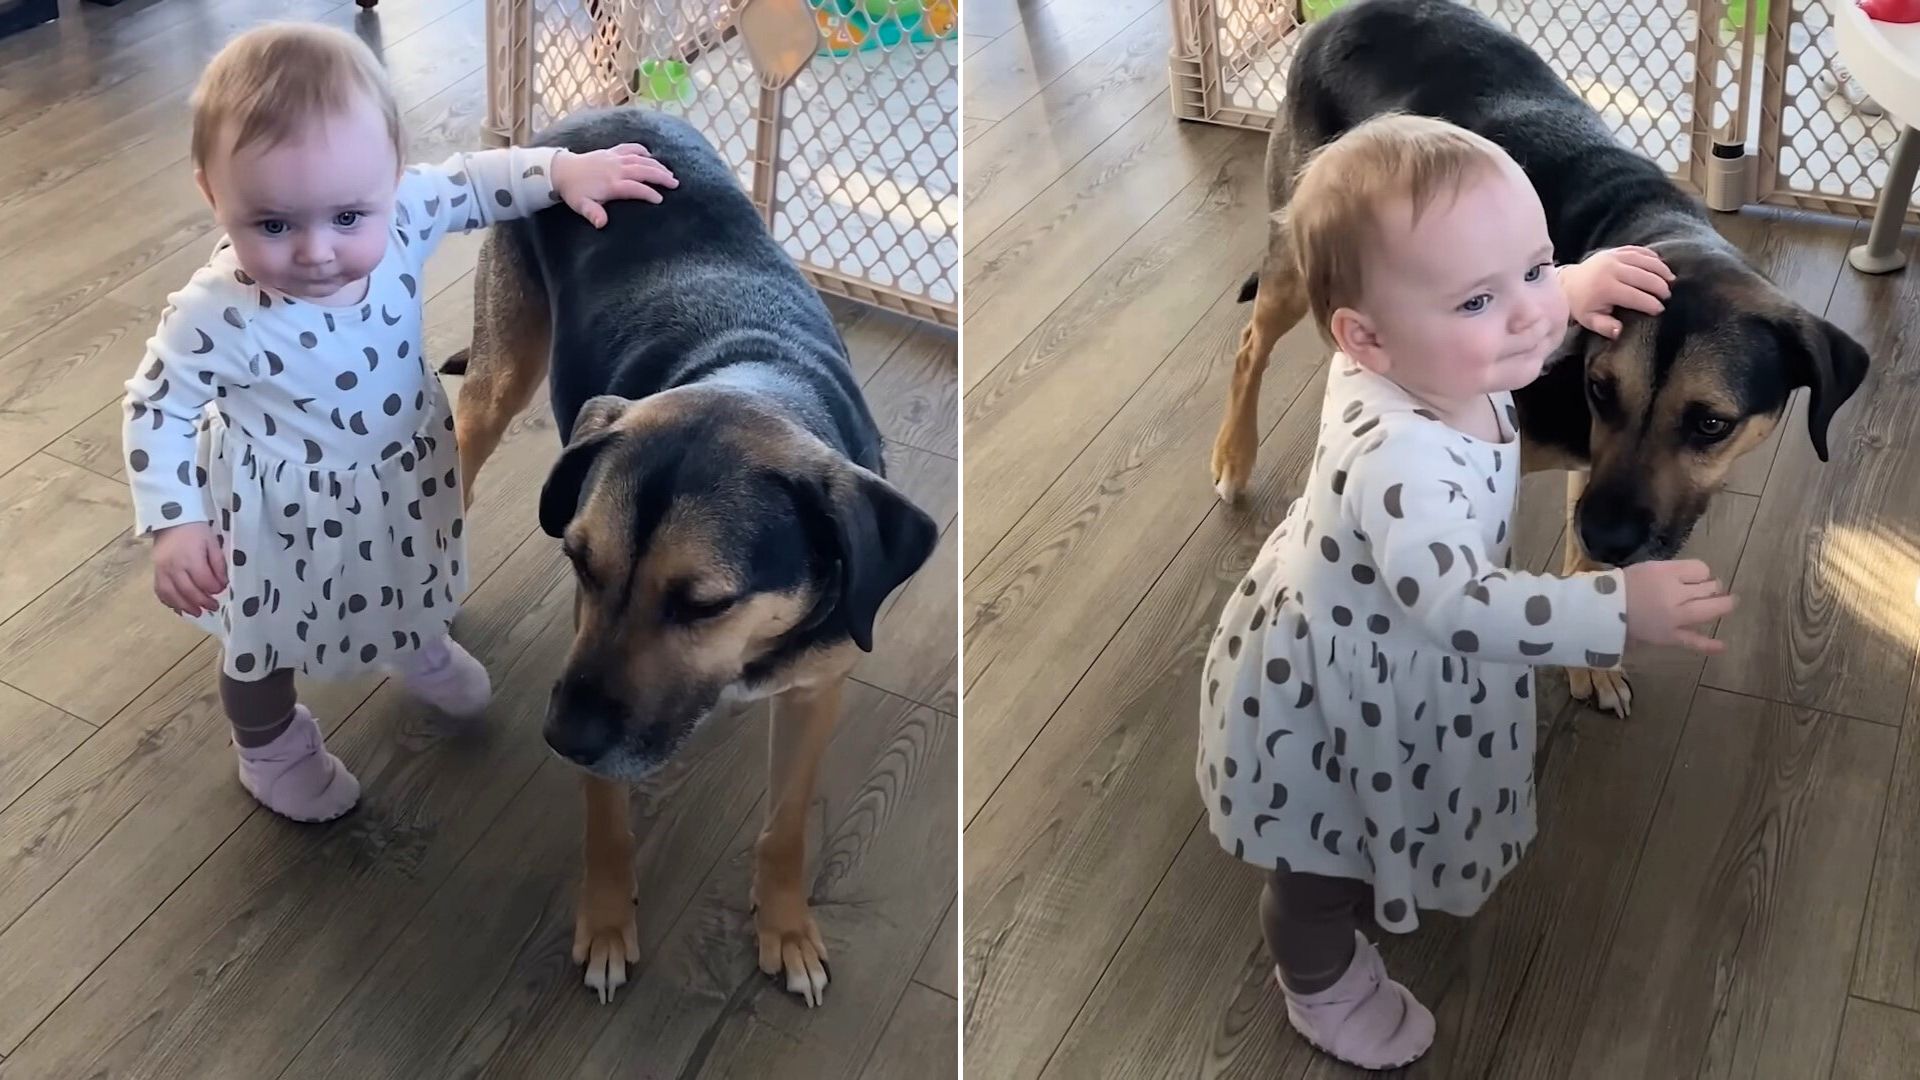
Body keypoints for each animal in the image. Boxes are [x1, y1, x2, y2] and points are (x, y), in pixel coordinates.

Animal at [441, 107, 936, 999]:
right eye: (581, 564)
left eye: (703, 603)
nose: (561, 738)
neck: (753, 376)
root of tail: (594, 113)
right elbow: (606, 818)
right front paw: (607, 921)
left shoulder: (816, 691)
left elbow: (786, 827)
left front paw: (786, 928)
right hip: (501, 376)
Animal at [1205, 0, 1866, 714]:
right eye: (1602, 388)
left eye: (1712, 424)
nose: (1607, 537)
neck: (1652, 225)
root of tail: (1335, 18)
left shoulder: (1594, 467)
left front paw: (1595, 648)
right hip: (1302, 253)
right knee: (1249, 347)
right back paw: (1234, 454)